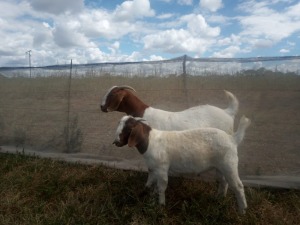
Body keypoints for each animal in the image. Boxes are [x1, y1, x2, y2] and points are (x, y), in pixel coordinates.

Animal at [112, 115, 251, 214]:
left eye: (128, 128)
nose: (115, 142)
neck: (150, 141)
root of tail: (232, 139)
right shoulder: (153, 168)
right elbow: (150, 182)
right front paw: (148, 195)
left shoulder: (162, 169)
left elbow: (161, 187)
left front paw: (161, 205)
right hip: (220, 166)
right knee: (224, 182)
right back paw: (219, 198)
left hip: (229, 164)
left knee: (238, 186)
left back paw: (242, 211)